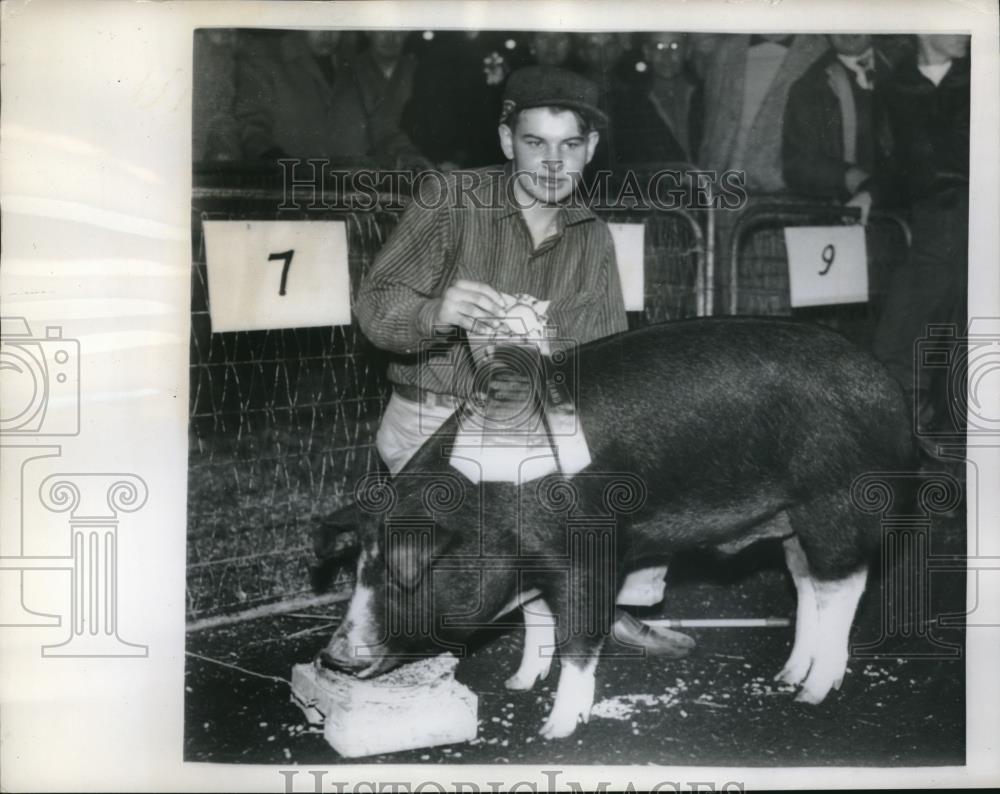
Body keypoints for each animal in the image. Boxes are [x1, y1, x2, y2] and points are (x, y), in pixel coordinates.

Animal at [316, 316, 916, 736]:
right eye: (359, 568)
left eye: (402, 573)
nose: (332, 657)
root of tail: (889, 393)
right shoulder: (533, 560)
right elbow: (537, 619)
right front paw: (517, 683)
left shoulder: (591, 553)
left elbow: (578, 638)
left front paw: (555, 729)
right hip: (790, 520)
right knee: (807, 586)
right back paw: (786, 676)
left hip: (833, 502)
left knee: (843, 587)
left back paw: (811, 694)